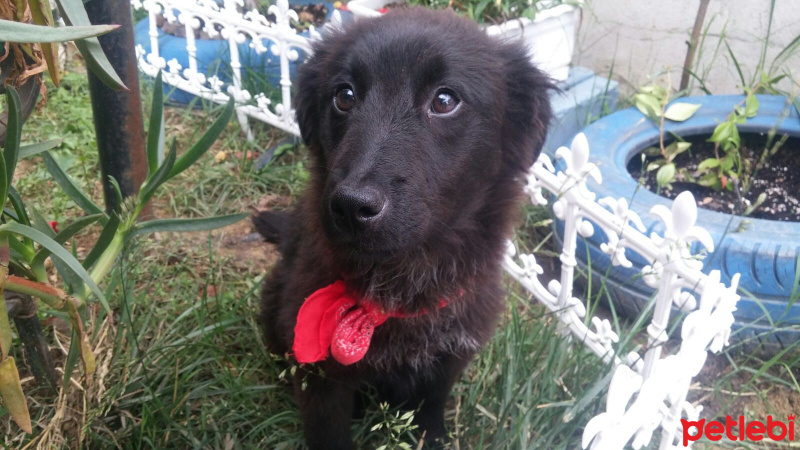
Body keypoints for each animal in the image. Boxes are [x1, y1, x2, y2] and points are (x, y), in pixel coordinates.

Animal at [253, 7, 552, 450]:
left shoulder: (447, 358)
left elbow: (428, 411)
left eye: (444, 100)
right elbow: (328, 432)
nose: (351, 205)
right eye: (344, 96)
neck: (402, 283)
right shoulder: (320, 376)